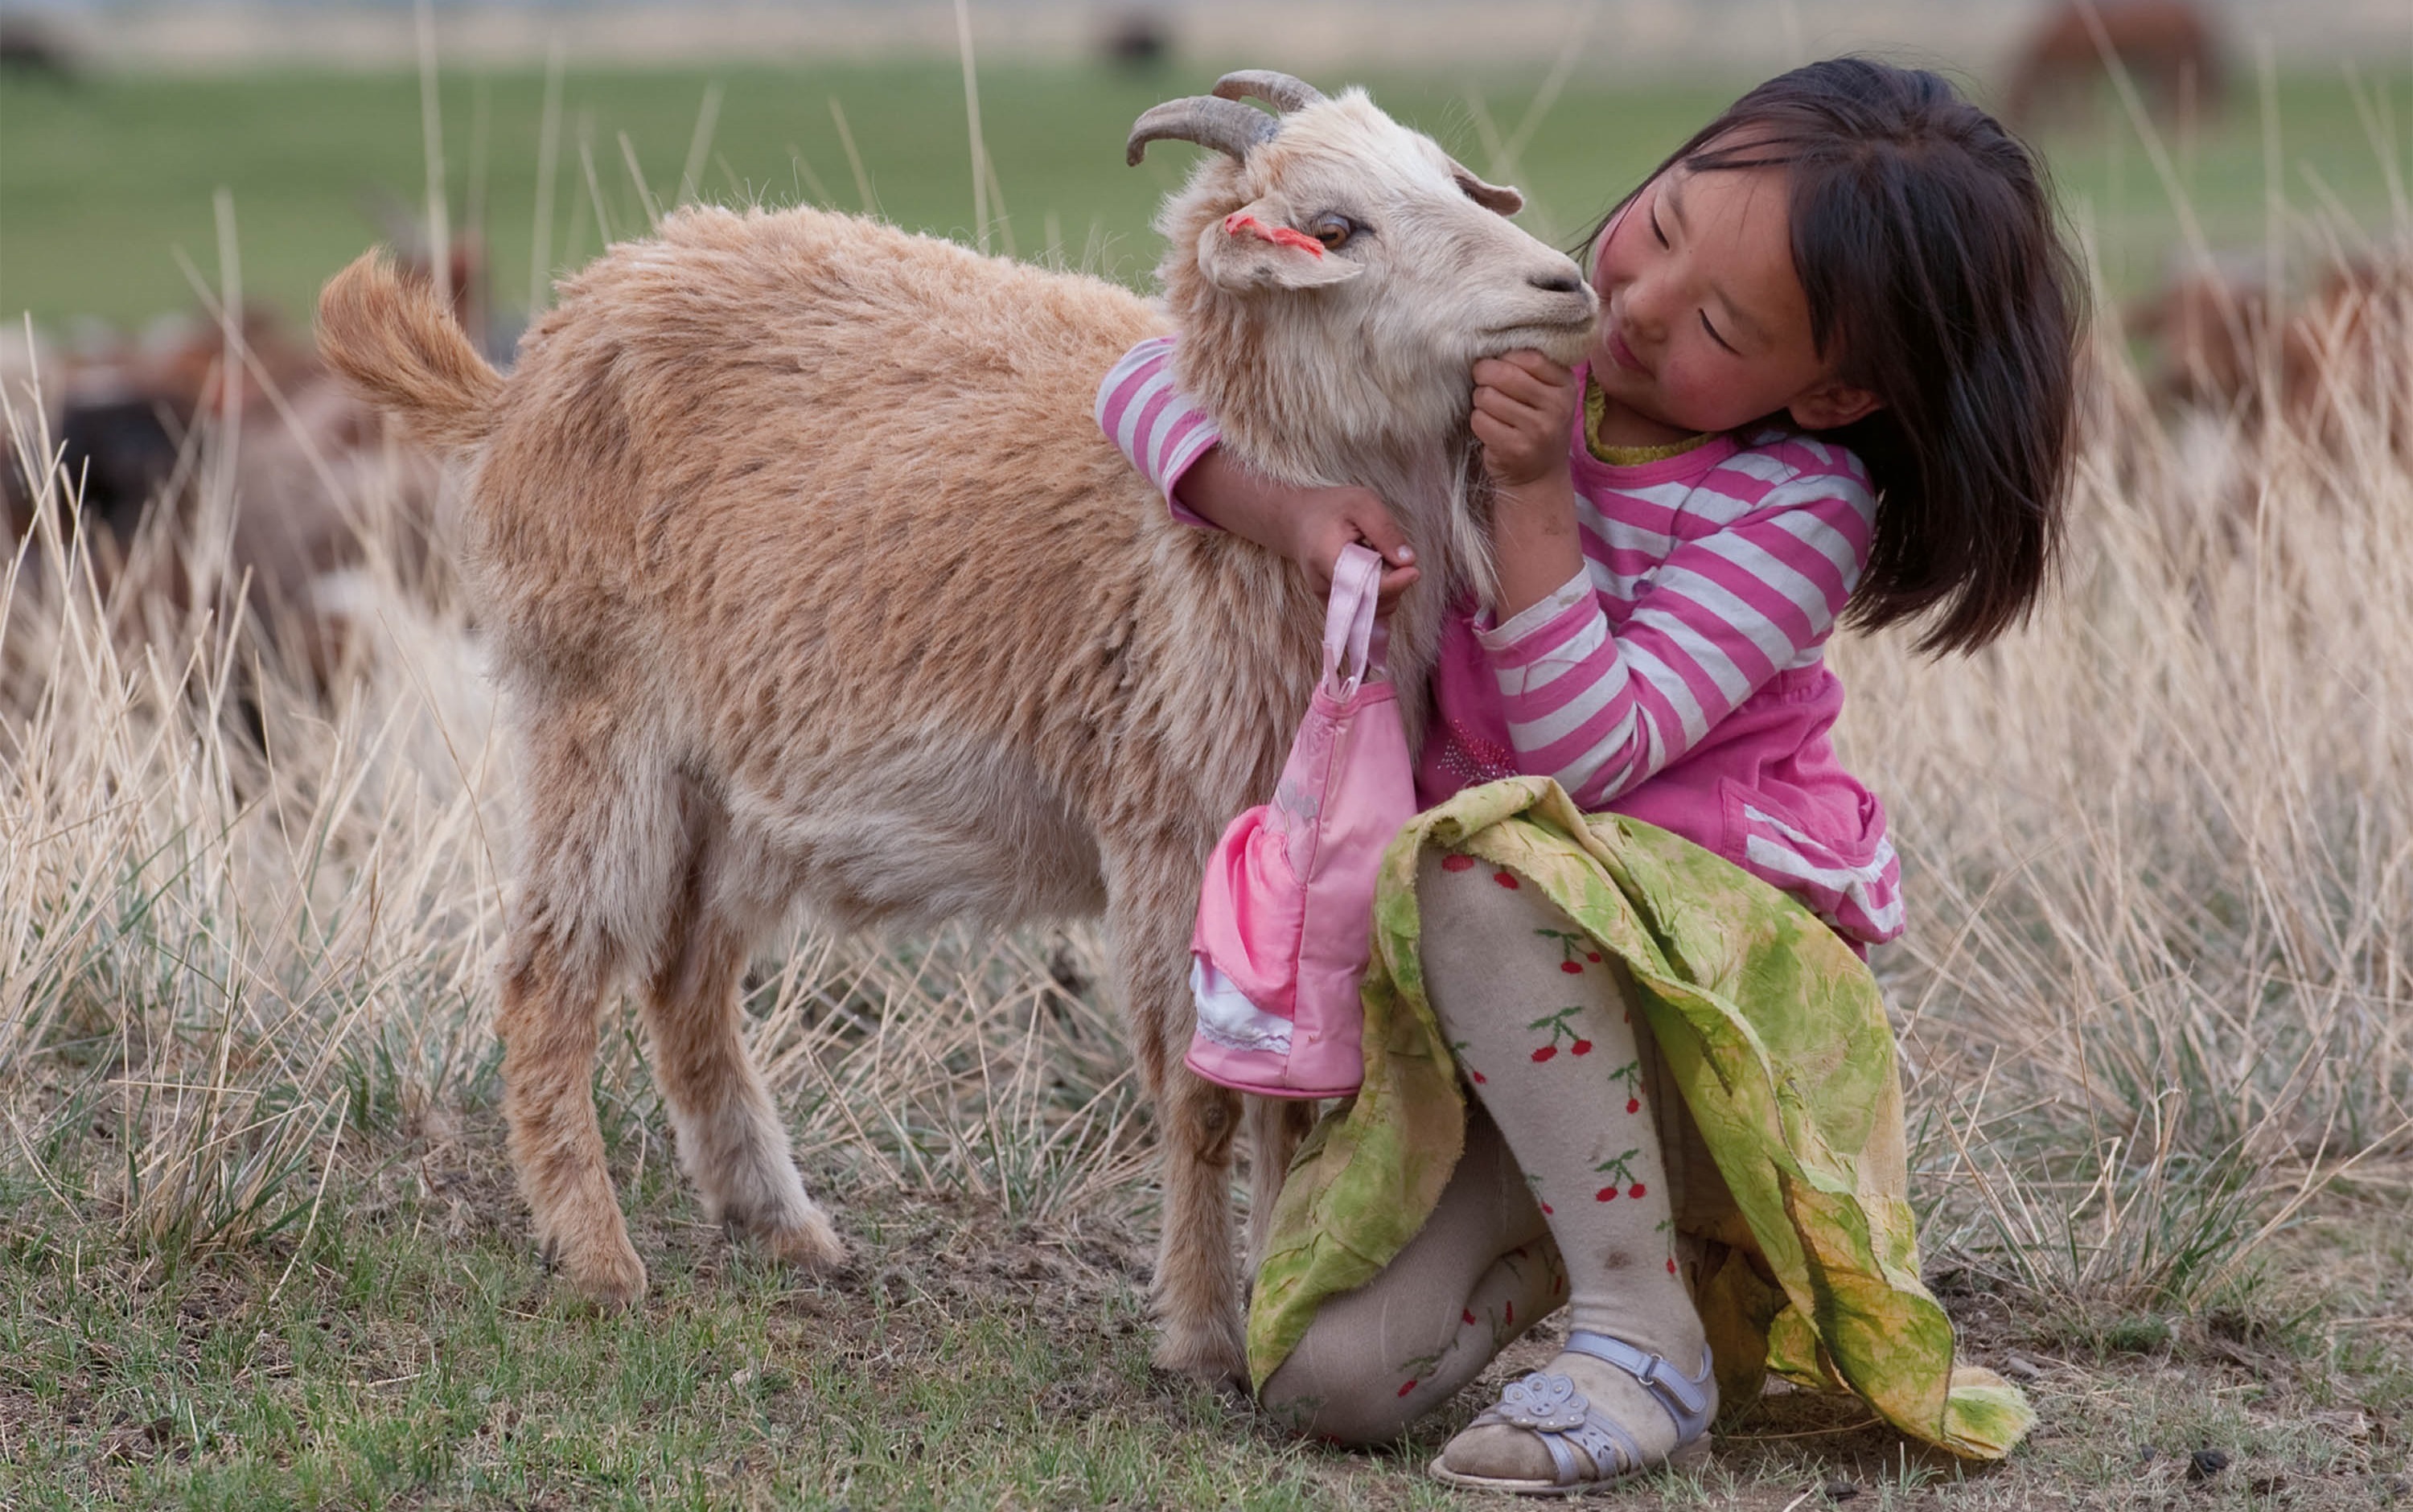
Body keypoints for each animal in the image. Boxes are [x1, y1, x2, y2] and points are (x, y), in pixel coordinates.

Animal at [321, 71, 1602, 1389]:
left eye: (1447, 174)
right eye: (1336, 227)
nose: (1563, 286)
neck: (1203, 532)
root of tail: (534, 362)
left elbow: (1287, 1106)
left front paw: (1277, 1301)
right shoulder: (1164, 829)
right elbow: (1196, 1095)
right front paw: (1201, 1332)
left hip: (733, 778)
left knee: (685, 976)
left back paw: (780, 1221)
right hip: (597, 710)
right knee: (551, 967)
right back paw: (596, 1254)